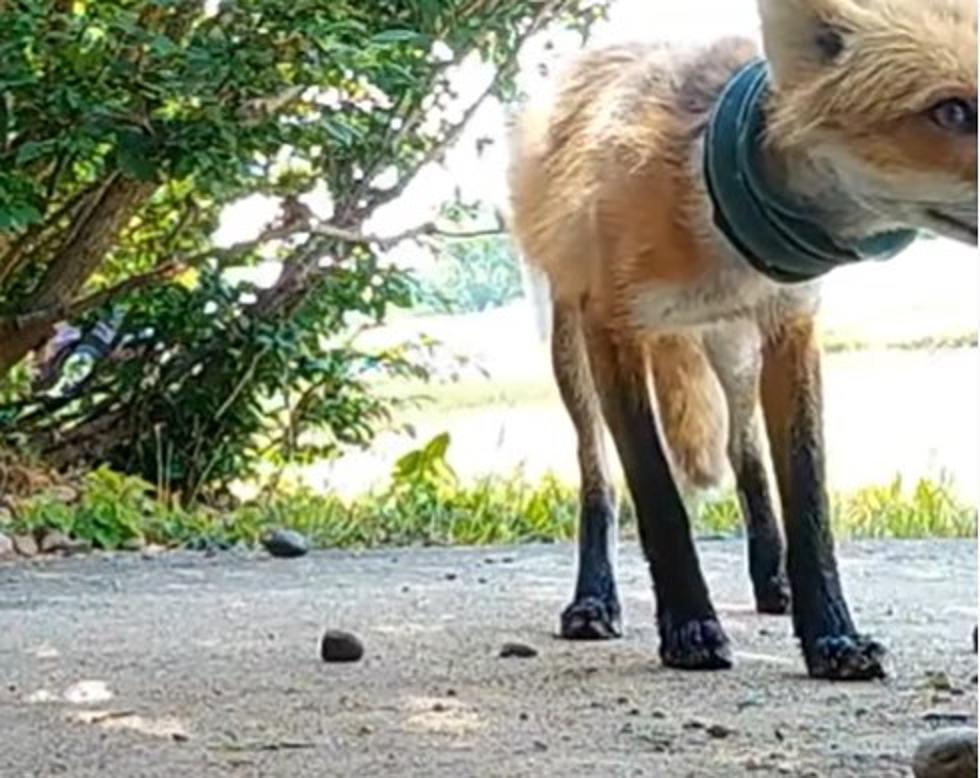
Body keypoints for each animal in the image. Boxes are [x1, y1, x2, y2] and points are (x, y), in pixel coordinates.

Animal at [510, 0, 976, 680]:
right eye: (951, 111)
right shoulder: (611, 328)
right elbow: (657, 496)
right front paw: (690, 625)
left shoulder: (792, 327)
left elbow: (807, 498)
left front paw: (832, 636)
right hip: (568, 348)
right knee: (598, 478)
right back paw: (594, 599)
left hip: (734, 352)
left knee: (744, 453)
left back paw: (771, 582)